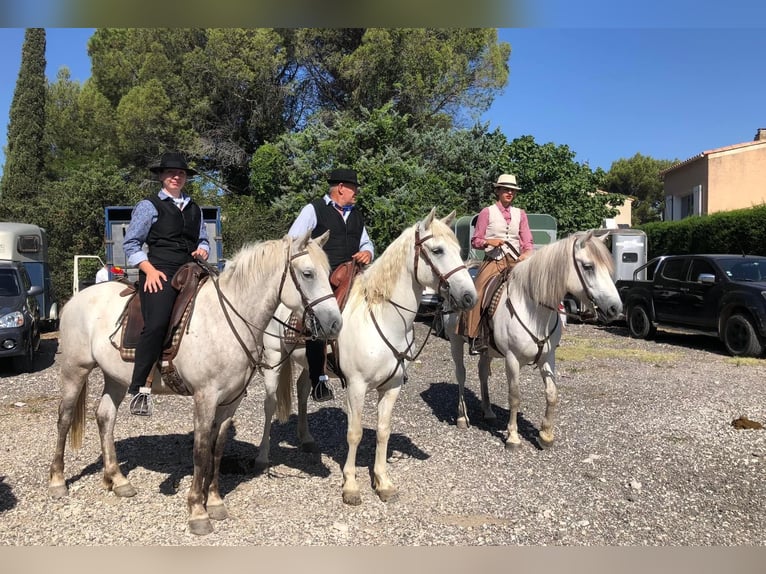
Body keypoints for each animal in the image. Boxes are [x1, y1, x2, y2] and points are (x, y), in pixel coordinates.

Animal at [48, 231, 342, 536]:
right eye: (307, 274)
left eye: (328, 273)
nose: (335, 324)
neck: (227, 320)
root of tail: (76, 299)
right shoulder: (205, 397)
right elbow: (201, 450)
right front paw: (197, 511)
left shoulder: (231, 401)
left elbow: (217, 448)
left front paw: (214, 501)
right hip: (75, 370)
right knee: (65, 418)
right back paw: (57, 481)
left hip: (115, 378)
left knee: (105, 416)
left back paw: (117, 480)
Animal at [255, 208, 477, 505]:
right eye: (438, 250)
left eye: (458, 249)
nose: (469, 297)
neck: (383, 317)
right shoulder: (356, 387)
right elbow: (355, 433)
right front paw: (350, 486)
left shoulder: (392, 387)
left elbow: (383, 431)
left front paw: (383, 482)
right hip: (273, 357)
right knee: (269, 405)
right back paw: (262, 456)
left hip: (307, 364)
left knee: (302, 392)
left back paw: (306, 439)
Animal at [444, 230, 622, 449]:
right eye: (589, 266)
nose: (615, 308)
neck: (534, 311)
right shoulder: (512, 359)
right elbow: (514, 396)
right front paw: (513, 437)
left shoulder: (548, 357)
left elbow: (552, 394)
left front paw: (546, 435)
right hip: (455, 342)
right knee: (461, 374)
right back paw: (462, 417)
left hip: (487, 350)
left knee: (483, 372)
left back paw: (488, 411)